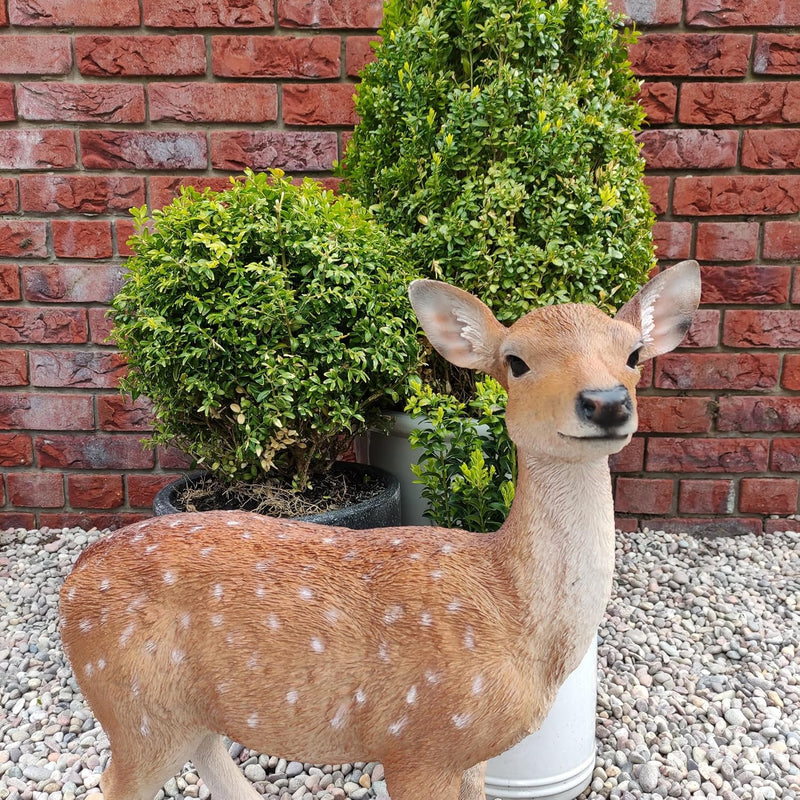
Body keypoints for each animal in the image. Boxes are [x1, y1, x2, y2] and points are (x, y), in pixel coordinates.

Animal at [59, 259, 700, 800]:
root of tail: (73, 580)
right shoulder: (419, 740)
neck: (513, 611)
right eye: (516, 361)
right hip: (134, 705)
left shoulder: (471, 754)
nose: (606, 402)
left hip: (180, 711)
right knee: (116, 780)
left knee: (211, 757)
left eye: (634, 354)